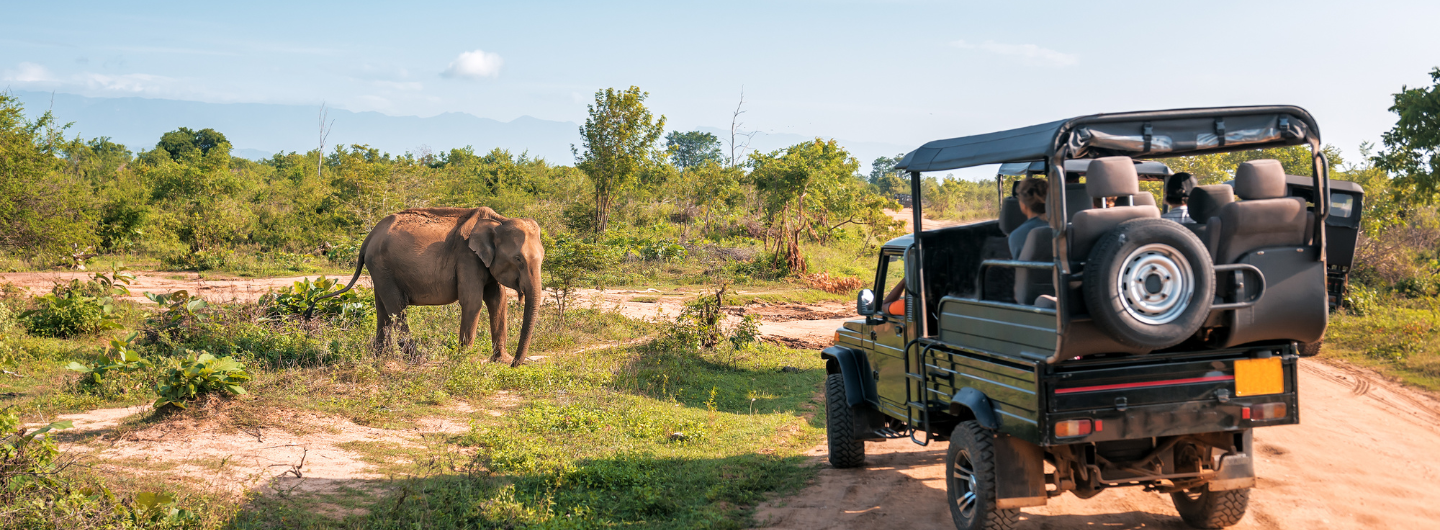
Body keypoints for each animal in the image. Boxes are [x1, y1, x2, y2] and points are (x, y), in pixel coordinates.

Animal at [316, 205, 544, 364]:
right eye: (518, 259)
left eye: (543, 258)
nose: (516, 364)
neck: (499, 221)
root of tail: (368, 237)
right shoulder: (467, 257)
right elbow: (472, 302)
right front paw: (464, 361)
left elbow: (498, 300)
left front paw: (501, 360)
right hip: (382, 267)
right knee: (397, 307)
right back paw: (417, 359)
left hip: (379, 270)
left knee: (382, 309)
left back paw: (381, 357)